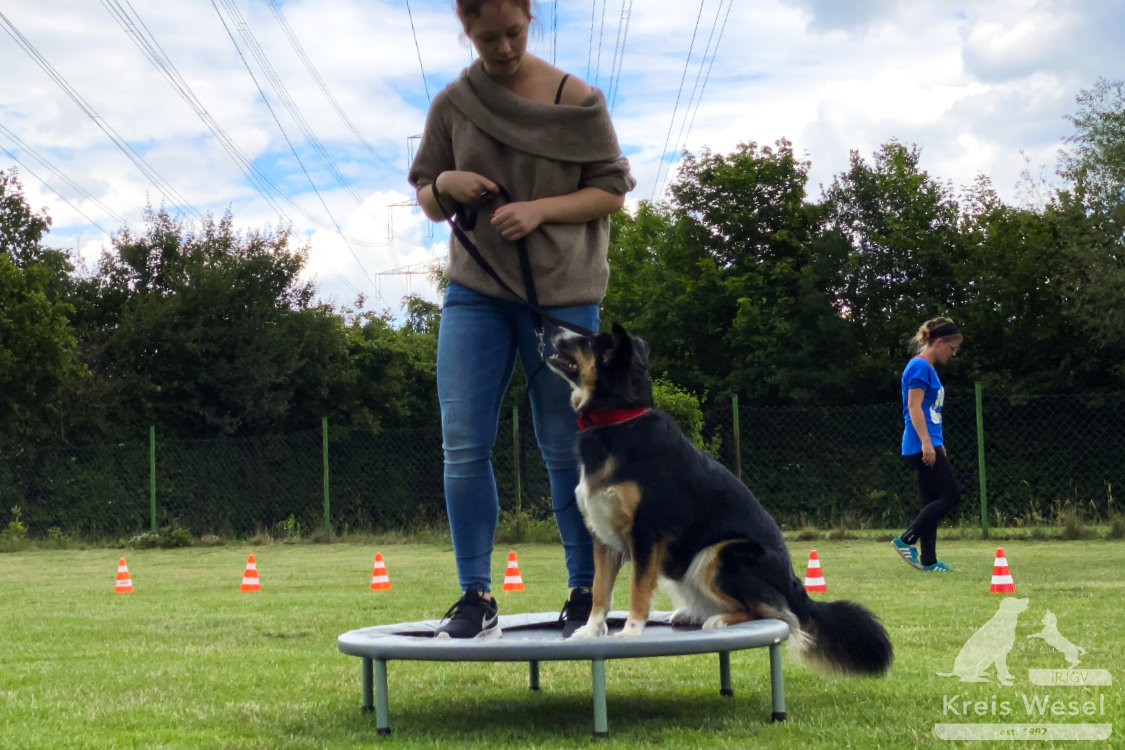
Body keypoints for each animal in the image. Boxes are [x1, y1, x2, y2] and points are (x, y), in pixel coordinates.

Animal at [549, 323, 891, 674]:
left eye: (589, 342)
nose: (553, 329)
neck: (618, 421)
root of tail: (793, 583)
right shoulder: (602, 536)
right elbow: (600, 591)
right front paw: (590, 631)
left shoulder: (646, 534)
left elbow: (638, 590)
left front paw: (631, 633)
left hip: (718, 555)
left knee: (778, 614)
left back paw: (719, 620)